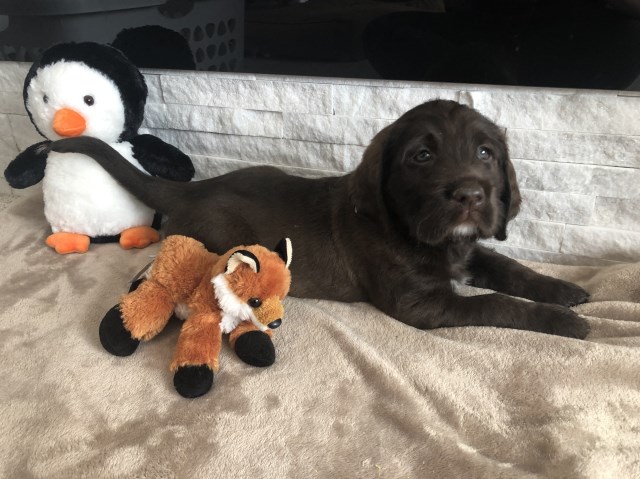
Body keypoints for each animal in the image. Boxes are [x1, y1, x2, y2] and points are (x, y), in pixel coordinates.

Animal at [52, 99, 592, 338]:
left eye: (485, 153)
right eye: (421, 157)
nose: (470, 195)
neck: (421, 234)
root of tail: (194, 185)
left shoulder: (467, 249)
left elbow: (510, 270)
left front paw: (563, 291)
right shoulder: (421, 305)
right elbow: (495, 302)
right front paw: (564, 321)